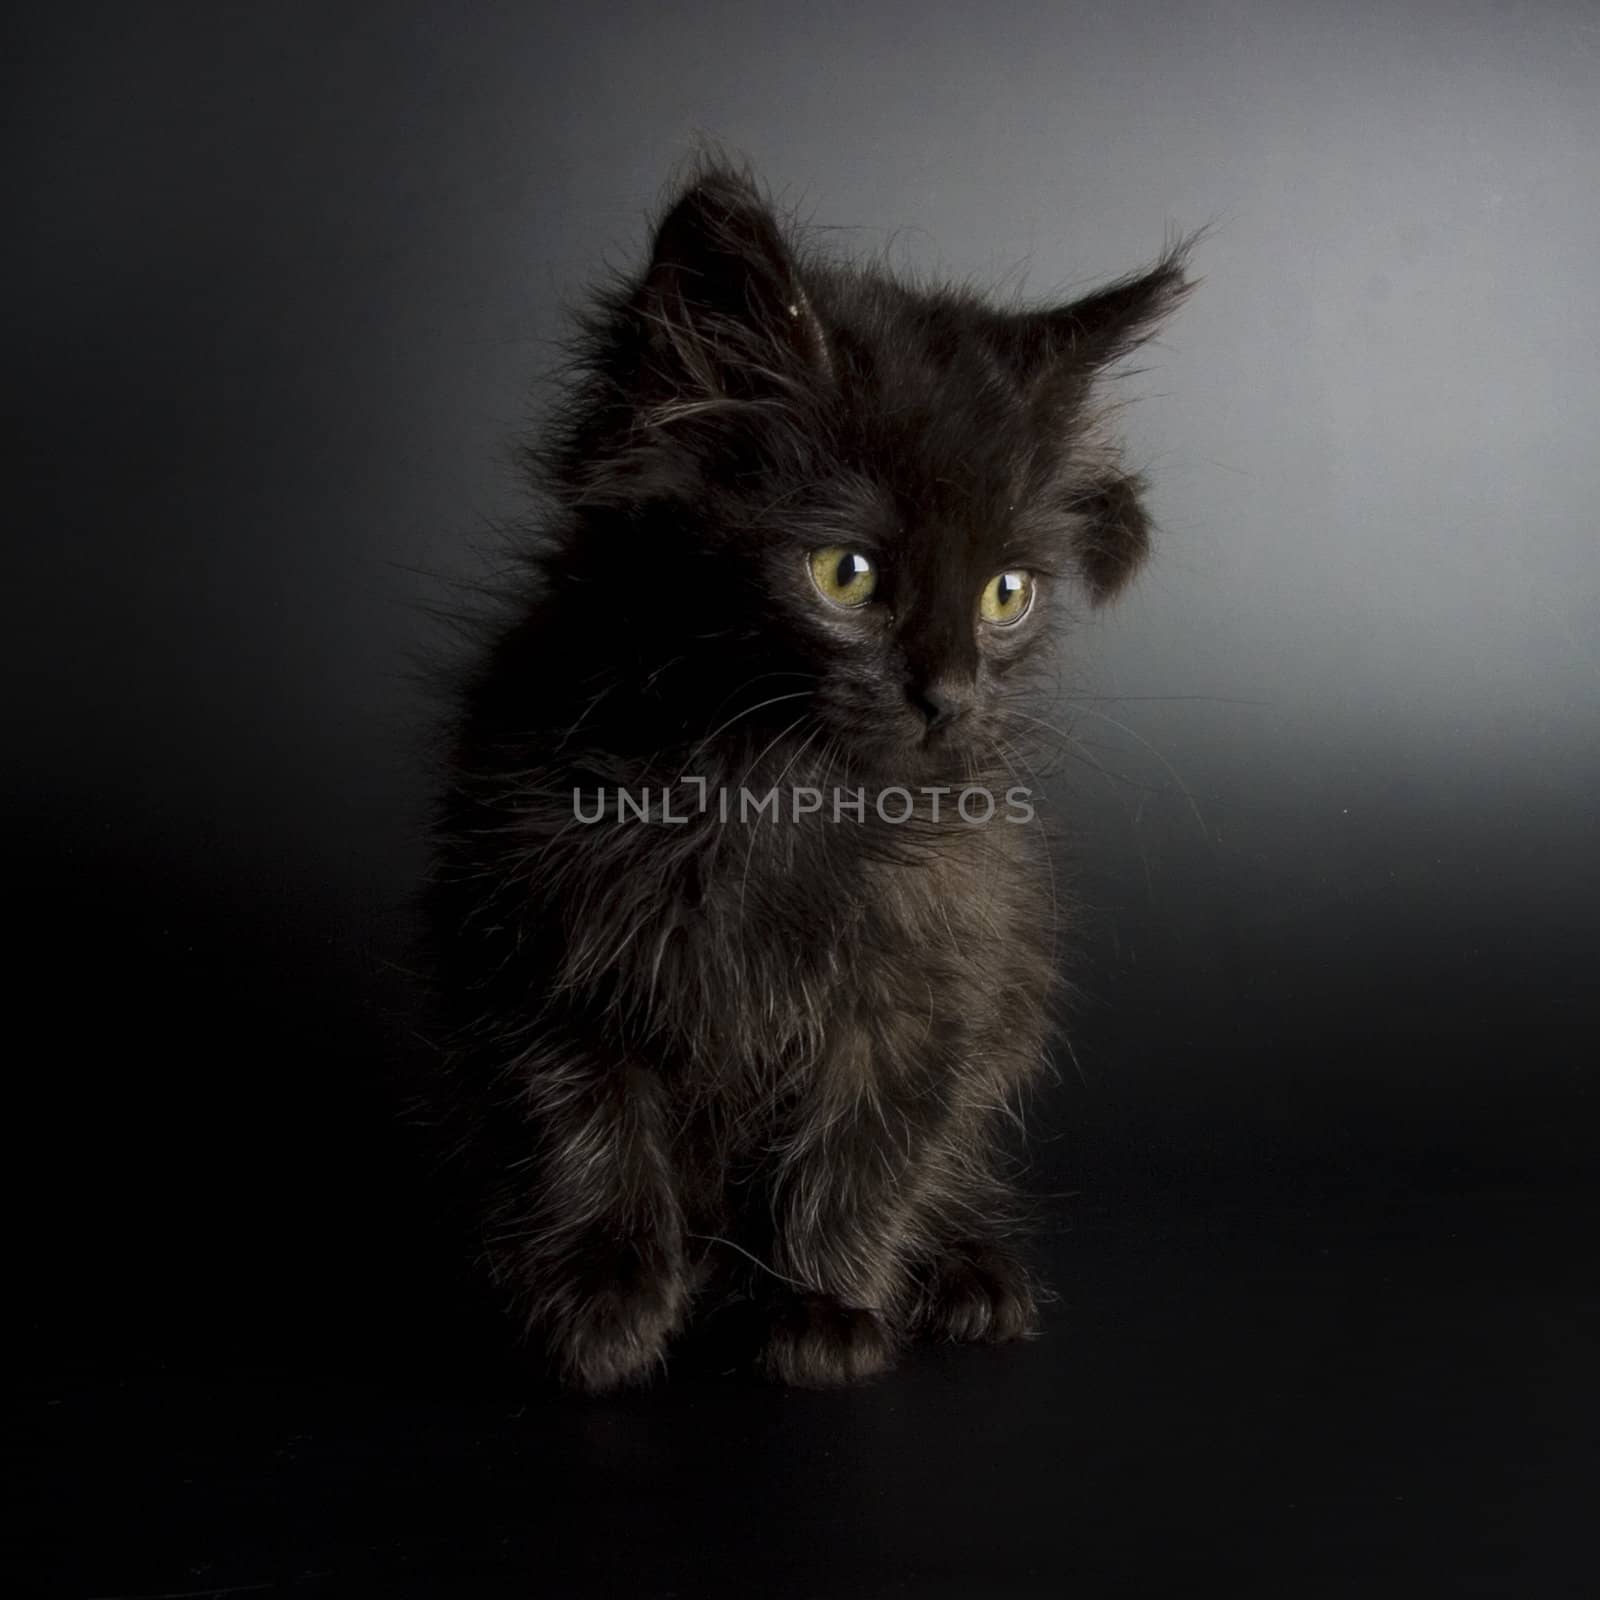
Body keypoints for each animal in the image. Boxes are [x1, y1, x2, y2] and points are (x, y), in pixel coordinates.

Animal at [425, 162, 1190, 1388]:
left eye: (1007, 593)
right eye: (846, 573)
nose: (949, 695)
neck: (774, 793)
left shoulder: (933, 990)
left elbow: (865, 1153)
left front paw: (821, 1311)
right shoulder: (536, 951)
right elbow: (585, 1132)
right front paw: (600, 1304)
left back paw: (969, 1276)